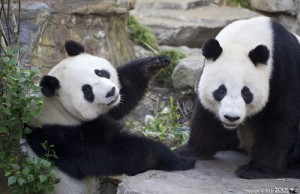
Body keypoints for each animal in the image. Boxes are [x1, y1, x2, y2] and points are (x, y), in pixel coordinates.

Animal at [25, 40, 195, 193]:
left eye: (100, 72)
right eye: (87, 90)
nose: (111, 92)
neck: (57, 108)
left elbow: (125, 90)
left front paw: (153, 64)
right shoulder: (63, 139)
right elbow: (114, 153)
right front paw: (175, 159)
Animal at [176, 16, 300, 179]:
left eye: (246, 92)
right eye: (221, 90)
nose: (231, 117)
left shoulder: (286, 72)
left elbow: (279, 121)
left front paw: (256, 169)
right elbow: (206, 117)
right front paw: (190, 151)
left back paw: (291, 168)